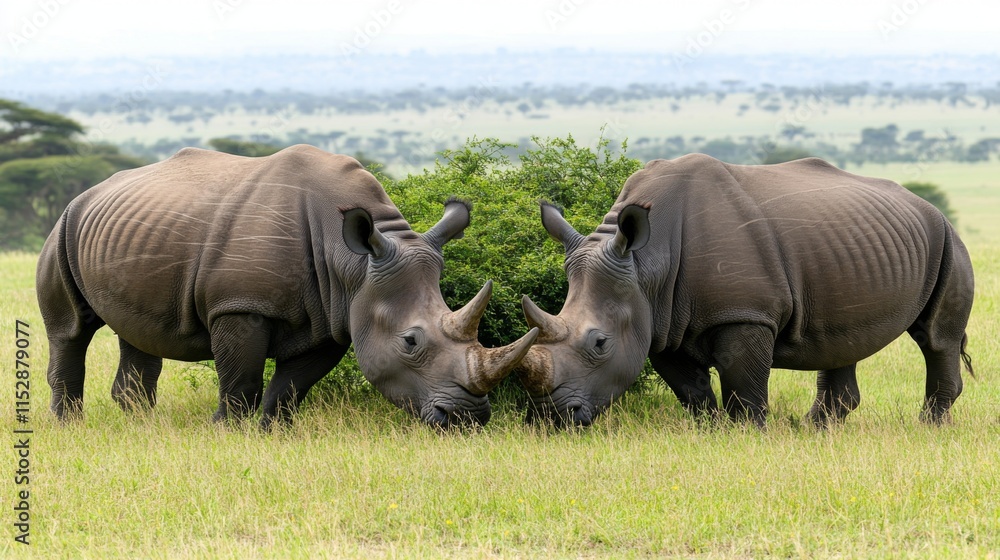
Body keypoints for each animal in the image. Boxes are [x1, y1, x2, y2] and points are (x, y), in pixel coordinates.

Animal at [37, 145, 538, 428]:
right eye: (410, 342)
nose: (468, 419)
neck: (353, 262)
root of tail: (90, 192)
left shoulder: (334, 316)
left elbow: (291, 387)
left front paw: (273, 433)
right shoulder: (239, 305)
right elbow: (240, 380)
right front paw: (226, 432)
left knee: (138, 332)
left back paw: (139, 426)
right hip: (64, 226)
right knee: (70, 330)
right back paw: (70, 427)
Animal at [518, 154, 974, 427]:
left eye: (600, 343)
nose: (552, 417)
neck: (647, 264)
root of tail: (926, 205)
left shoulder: (746, 313)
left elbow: (743, 384)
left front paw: (746, 434)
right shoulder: (659, 320)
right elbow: (690, 389)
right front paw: (708, 429)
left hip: (947, 239)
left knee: (935, 338)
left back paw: (930, 427)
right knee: (843, 339)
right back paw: (815, 430)